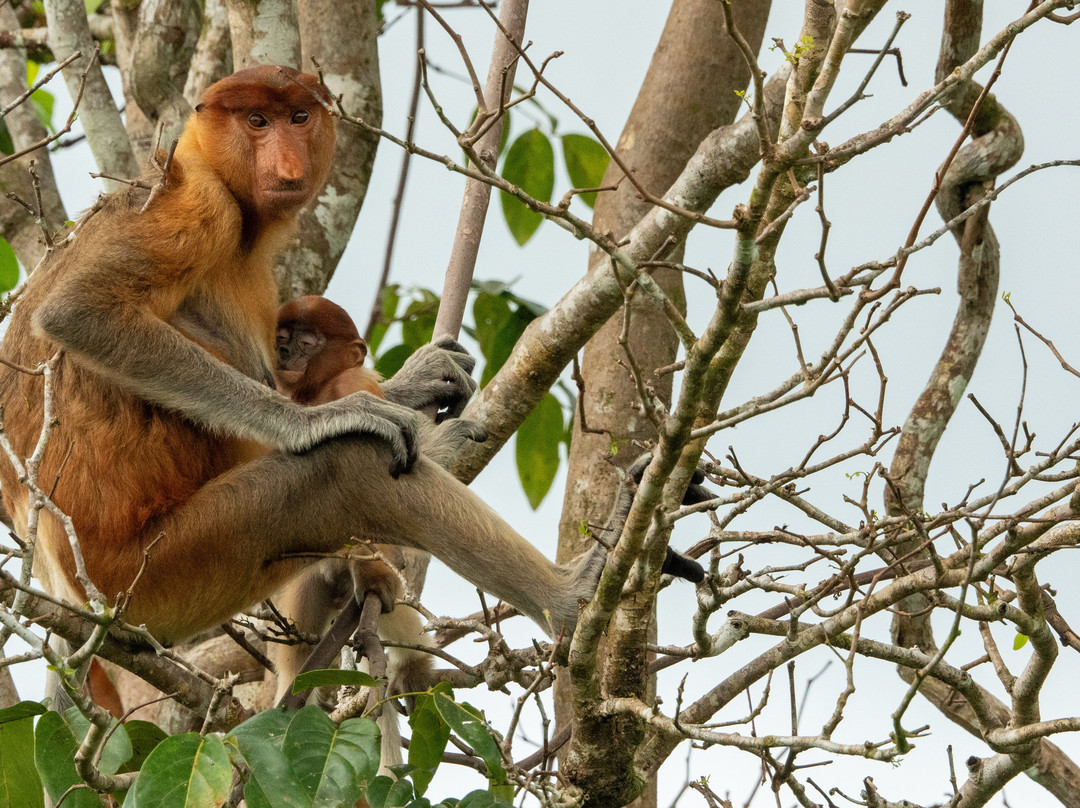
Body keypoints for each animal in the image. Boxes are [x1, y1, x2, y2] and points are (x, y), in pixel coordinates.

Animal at [0, 66, 607, 661]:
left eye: (298, 118)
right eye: (256, 121)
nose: (287, 163)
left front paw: (422, 378)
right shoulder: (200, 207)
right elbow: (77, 311)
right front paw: (322, 420)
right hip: (159, 574)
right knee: (348, 471)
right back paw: (570, 596)